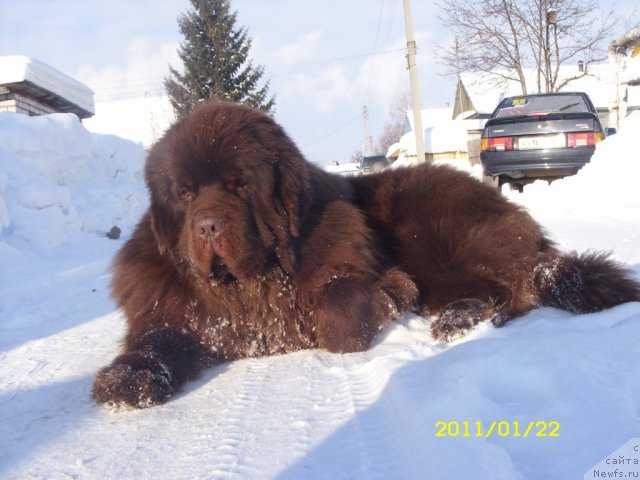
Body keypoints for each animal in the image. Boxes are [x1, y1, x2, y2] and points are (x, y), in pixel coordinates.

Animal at [94, 101, 640, 408]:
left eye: (239, 184)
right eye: (185, 194)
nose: (208, 226)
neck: (254, 285)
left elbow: (341, 323)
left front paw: (389, 296)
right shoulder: (178, 311)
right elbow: (156, 339)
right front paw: (128, 377)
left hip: (431, 231)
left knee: (509, 287)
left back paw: (457, 319)